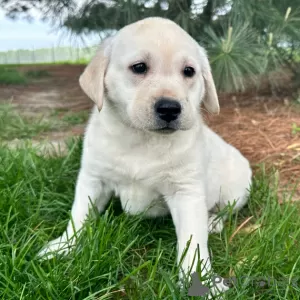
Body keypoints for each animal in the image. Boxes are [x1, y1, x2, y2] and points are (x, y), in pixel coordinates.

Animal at [38, 18, 252, 296]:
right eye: (139, 67)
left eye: (189, 72)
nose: (170, 108)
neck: (142, 139)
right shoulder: (93, 178)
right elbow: (79, 215)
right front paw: (64, 246)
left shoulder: (186, 191)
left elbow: (193, 241)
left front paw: (201, 280)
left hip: (237, 189)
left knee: (227, 210)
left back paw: (213, 221)